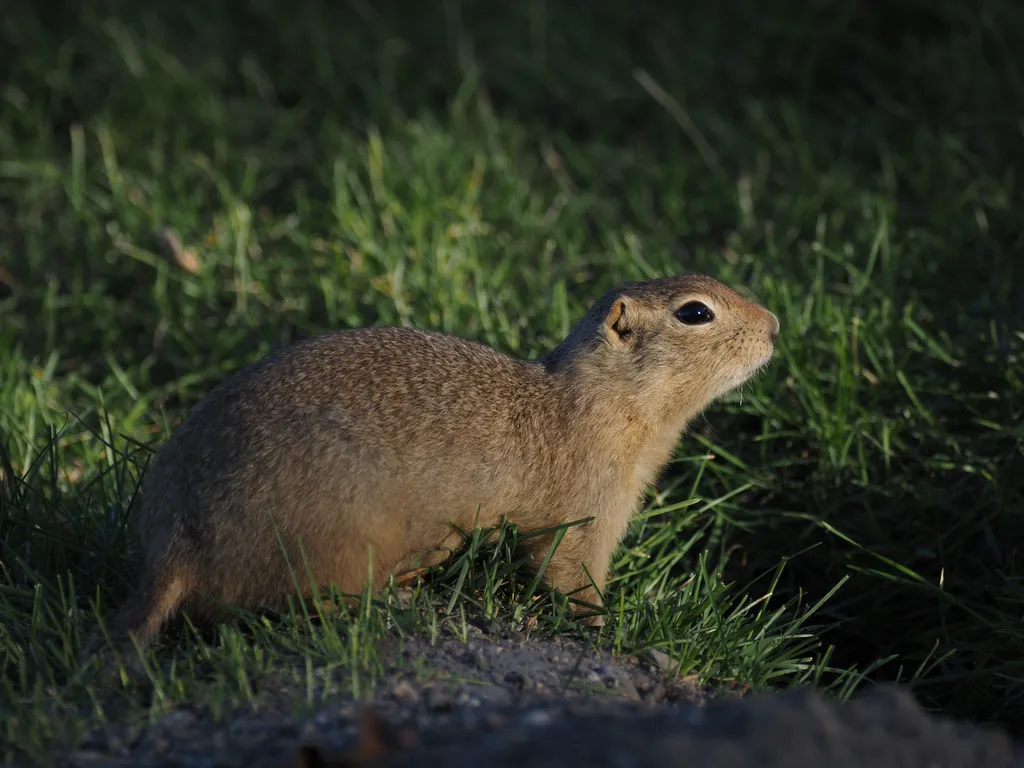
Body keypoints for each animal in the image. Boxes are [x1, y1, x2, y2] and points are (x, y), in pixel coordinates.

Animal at [88, 274, 778, 671]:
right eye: (695, 313)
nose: (774, 326)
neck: (598, 400)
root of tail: (175, 546)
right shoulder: (590, 507)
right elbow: (569, 571)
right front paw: (611, 625)